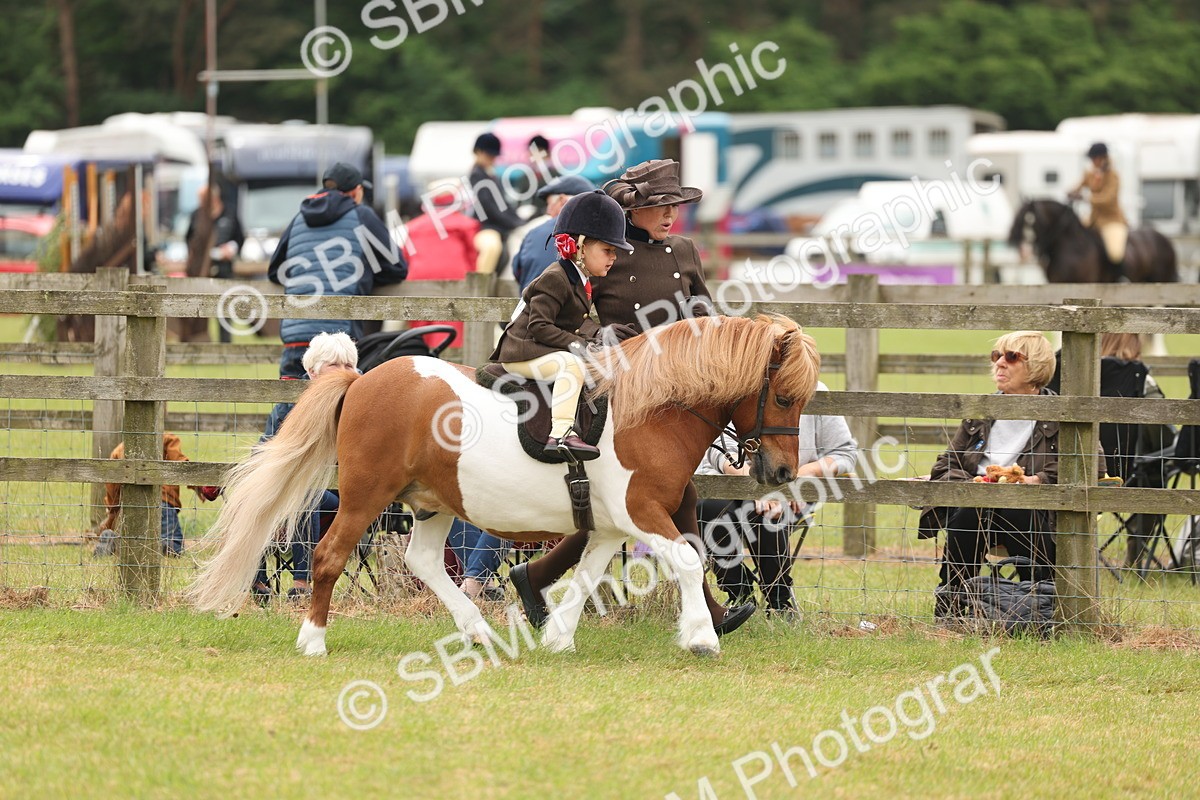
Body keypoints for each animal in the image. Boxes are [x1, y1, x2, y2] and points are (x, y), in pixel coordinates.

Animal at [189, 314, 821, 657]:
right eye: (783, 396)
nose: (782, 474)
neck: (648, 412)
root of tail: (362, 378)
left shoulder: (609, 526)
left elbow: (585, 578)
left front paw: (558, 637)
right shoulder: (641, 513)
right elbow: (689, 560)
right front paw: (702, 637)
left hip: (432, 503)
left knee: (424, 561)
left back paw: (479, 633)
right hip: (366, 497)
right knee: (328, 555)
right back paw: (313, 640)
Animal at [1008, 199, 1178, 283]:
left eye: (1033, 222)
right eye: (1019, 222)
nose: (1024, 252)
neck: (1073, 247)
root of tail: (1165, 239)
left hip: (1159, 280)